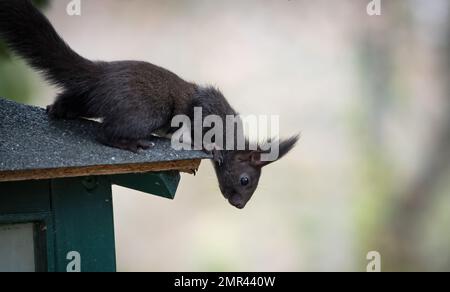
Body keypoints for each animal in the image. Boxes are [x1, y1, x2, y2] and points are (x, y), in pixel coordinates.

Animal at [0, 0, 298, 210]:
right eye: (245, 180)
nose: (239, 205)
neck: (230, 134)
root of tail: (101, 74)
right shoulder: (206, 106)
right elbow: (198, 125)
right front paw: (209, 147)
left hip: (89, 99)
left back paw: (59, 110)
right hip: (148, 112)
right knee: (105, 133)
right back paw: (131, 143)